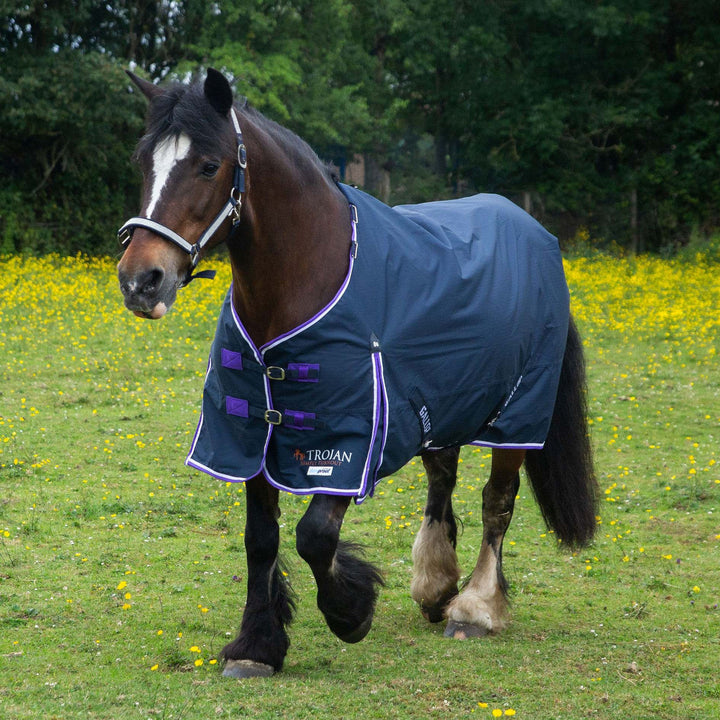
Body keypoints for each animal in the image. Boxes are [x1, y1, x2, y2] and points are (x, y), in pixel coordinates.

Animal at [116, 68, 597, 679]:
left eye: (207, 165)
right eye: (143, 162)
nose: (140, 280)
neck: (308, 282)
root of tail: (534, 231)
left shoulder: (348, 440)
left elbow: (315, 537)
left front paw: (351, 609)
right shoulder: (249, 435)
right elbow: (261, 538)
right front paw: (256, 645)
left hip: (515, 415)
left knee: (498, 500)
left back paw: (474, 609)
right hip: (441, 407)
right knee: (443, 479)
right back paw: (435, 588)